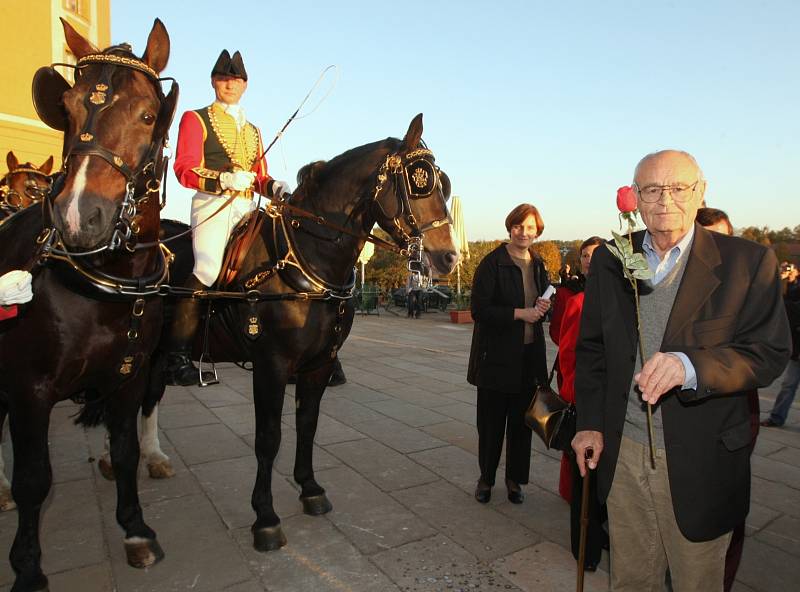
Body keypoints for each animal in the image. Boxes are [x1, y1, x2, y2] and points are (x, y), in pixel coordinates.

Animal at [0, 18, 178, 592]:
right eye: (70, 108)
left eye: (148, 114)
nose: (81, 215)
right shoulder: (28, 390)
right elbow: (35, 479)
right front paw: (27, 565)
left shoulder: (130, 377)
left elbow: (124, 453)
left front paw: (135, 529)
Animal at [143, 112, 456, 552]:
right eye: (420, 181)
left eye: (443, 181)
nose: (448, 258)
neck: (305, 258)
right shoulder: (271, 365)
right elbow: (269, 437)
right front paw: (265, 516)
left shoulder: (319, 364)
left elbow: (307, 424)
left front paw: (309, 488)